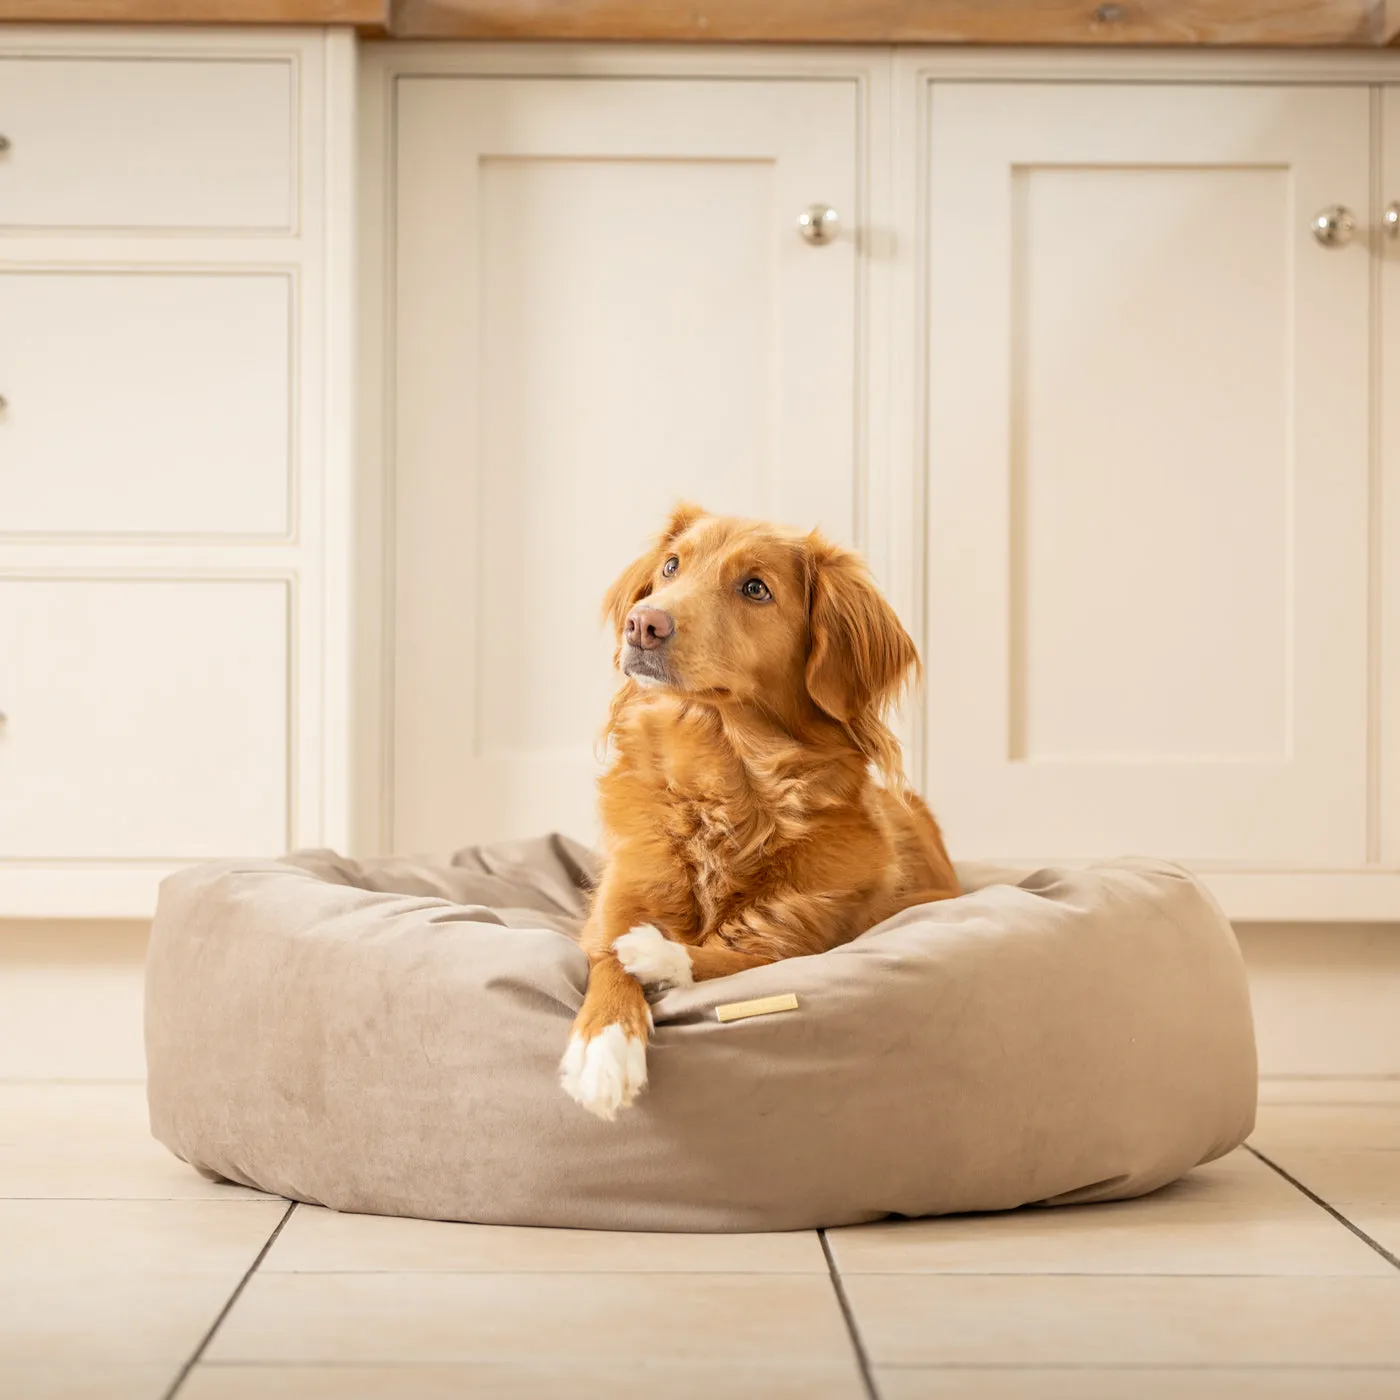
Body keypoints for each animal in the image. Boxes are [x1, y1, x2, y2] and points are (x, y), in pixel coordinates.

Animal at [560, 504, 963, 1114]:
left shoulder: (811, 937)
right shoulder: (612, 911)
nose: (642, 623)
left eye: (755, 588)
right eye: (671, 567)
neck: (723, 783)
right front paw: (602, 1046)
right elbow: (607, 959)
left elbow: (750, 960)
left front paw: (659, 956)